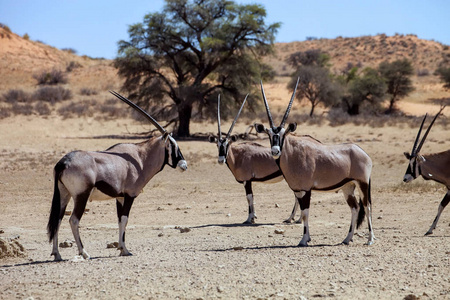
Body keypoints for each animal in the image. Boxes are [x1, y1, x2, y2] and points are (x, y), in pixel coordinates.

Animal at [48, 91, 188, 260]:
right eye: (173, 145)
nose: (184, 165)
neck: (141, 157)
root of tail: (63, 162)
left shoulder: (119, 198)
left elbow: (120, 220)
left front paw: (121, 248)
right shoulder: (129, 195)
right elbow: (125, 220)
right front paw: (125, 249)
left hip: (64, 194)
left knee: (57, 219)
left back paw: (57, 254)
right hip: (81, 195)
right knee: (73, 220)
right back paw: (84, 252)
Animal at [207, 95, 298, 224]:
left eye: (228, 144)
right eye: (217, 145)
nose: (220, 160)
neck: (238, 156)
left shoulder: (247, 181)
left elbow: (249, 197)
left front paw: (250, 218)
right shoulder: (248, 181)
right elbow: (252, 198)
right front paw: (253, 216)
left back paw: (291, 218)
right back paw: (296, 218)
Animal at [255, 80, 374, 246]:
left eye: (284, 134)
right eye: (269, 134)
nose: (275, 151)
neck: (293, 154)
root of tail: (364, 154)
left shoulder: (306, 190)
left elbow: (305, 213)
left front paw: (304, 239)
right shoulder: (298, 190)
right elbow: (303, 213)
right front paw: (306, 238)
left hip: (363, 183)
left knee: (367, 207)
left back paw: (370, 239)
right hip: (348, 187)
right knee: (355, 208)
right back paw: (347, 238)